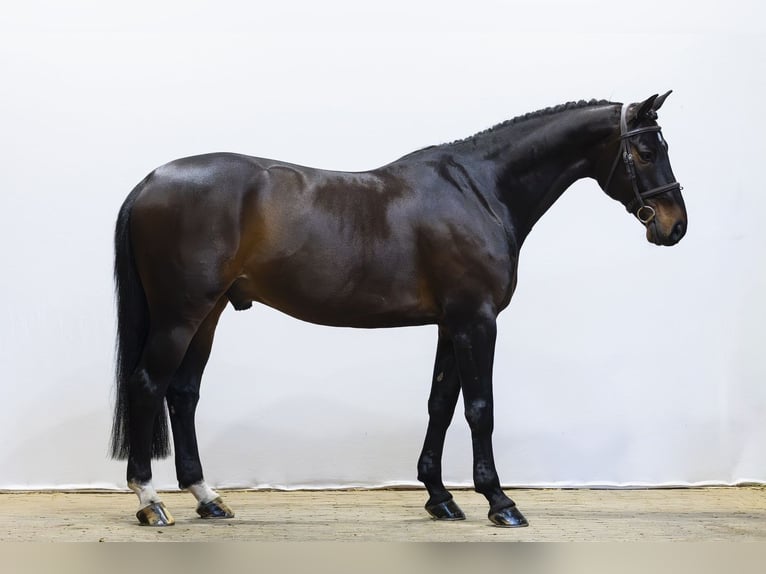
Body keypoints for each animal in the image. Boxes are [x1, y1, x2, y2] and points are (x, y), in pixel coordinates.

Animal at [110, 93, 687, 528]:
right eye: (643, 151)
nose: (674, 225)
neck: (479, 191)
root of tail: (150, 181)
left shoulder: (452, 324)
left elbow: (441, 405)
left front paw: (441, 498)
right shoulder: (477, 321)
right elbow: (480, 408)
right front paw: (500, 502)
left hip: (207, 315)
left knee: (183, 394)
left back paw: (207, 499)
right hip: (180, 315)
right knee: (148, 385)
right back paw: (150, 501)